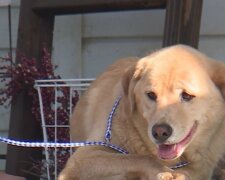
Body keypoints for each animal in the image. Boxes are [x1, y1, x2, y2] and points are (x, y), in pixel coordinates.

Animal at [59, 44, 225, 179]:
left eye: (187, 95)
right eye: (151, 95)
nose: (160, 132)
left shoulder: (202, 169)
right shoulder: (82, 158)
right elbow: (139, 158)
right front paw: (162, 171)